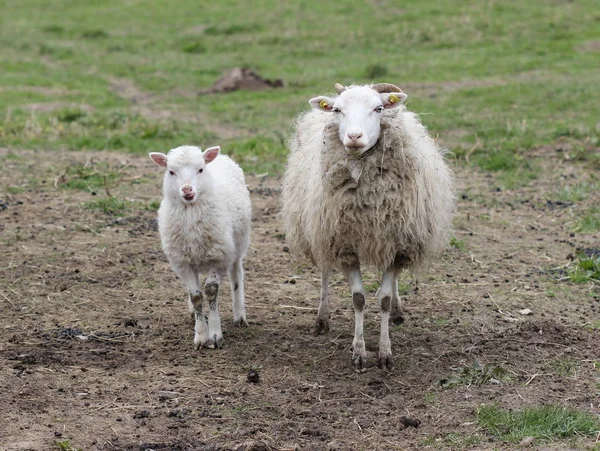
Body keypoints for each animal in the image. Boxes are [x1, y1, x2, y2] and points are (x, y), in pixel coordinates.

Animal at [151, 147, 252, 352]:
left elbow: (211, 292)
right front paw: (200, 335)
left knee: (237, 275)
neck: (191, 211)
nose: (187, 190)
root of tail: (222, 157)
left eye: (200, 169)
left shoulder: (217, 256)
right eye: (171, 172)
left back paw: (239, 315)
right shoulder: (182, 262)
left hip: (238, 244)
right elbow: (196, 296)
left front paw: (214, 334)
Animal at [282, 83, 454, 372]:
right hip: (320, 230)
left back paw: (397, 311)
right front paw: (359, 353)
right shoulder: (344, 245)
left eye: (379, 108)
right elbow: (358, 299)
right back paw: (322, 318)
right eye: (338, 110)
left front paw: (385, 353)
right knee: (325, 273)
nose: (354, 136)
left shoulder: (396, 244)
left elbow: (383, 299)